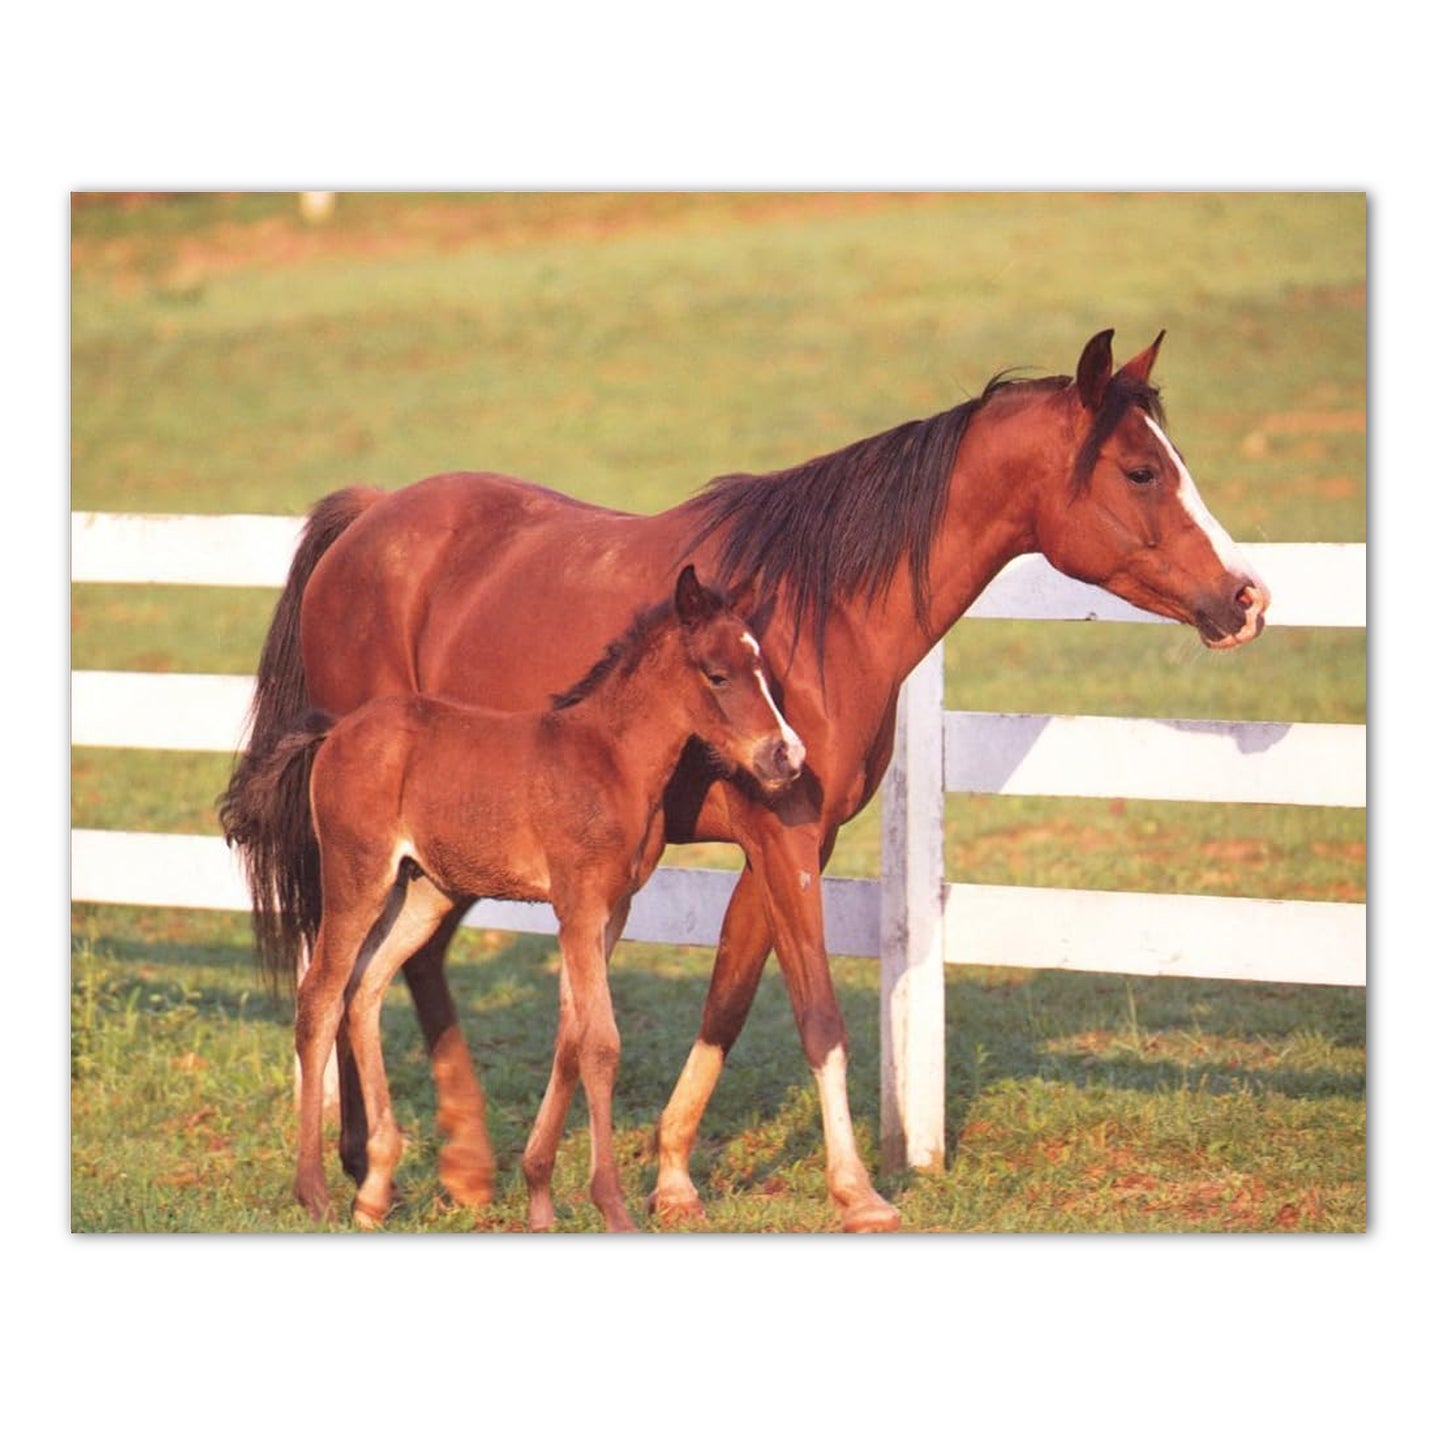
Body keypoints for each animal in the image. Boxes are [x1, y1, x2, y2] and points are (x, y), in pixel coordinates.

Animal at [225, 566, 804, 1230]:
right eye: (717, 674)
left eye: (762, 667)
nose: (786, 755)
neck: (611, 760)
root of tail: (338, 729)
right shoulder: (578, 907)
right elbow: (601, 1042)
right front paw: (612, 1205)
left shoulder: (612, 911)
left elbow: (570, 1037)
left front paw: (540, 1200)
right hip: (357, 875)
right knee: (320, 996)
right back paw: (314, 1191)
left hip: (427, 892)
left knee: (364, 989)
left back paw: (373, 1191)